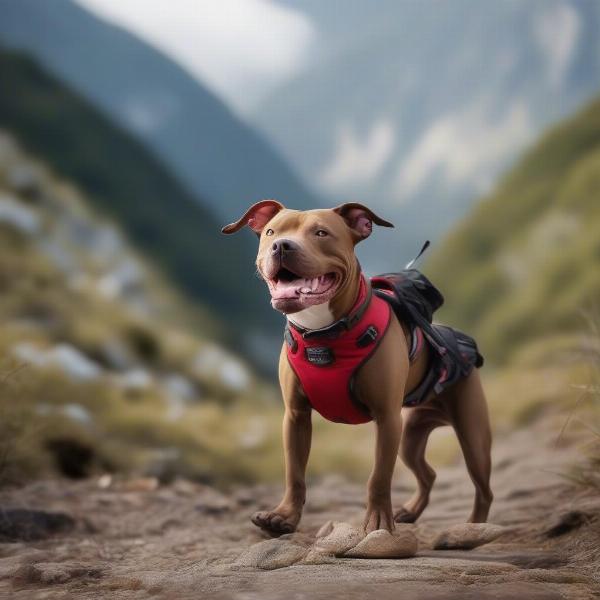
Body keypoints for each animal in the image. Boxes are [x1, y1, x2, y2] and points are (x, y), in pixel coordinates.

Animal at [221, 200, 492, 536]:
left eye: (321, 233)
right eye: (271, 231)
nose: (281, 246)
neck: (322, 335)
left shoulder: (387, 420)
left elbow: (379, 477)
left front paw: (378, 522)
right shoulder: (296, 417)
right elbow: (294, 472)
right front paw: (284, 516)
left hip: (471, 437)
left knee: (483, 488)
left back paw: (472, 530)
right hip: (411, 436)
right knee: (428, 474)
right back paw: (411, 511)